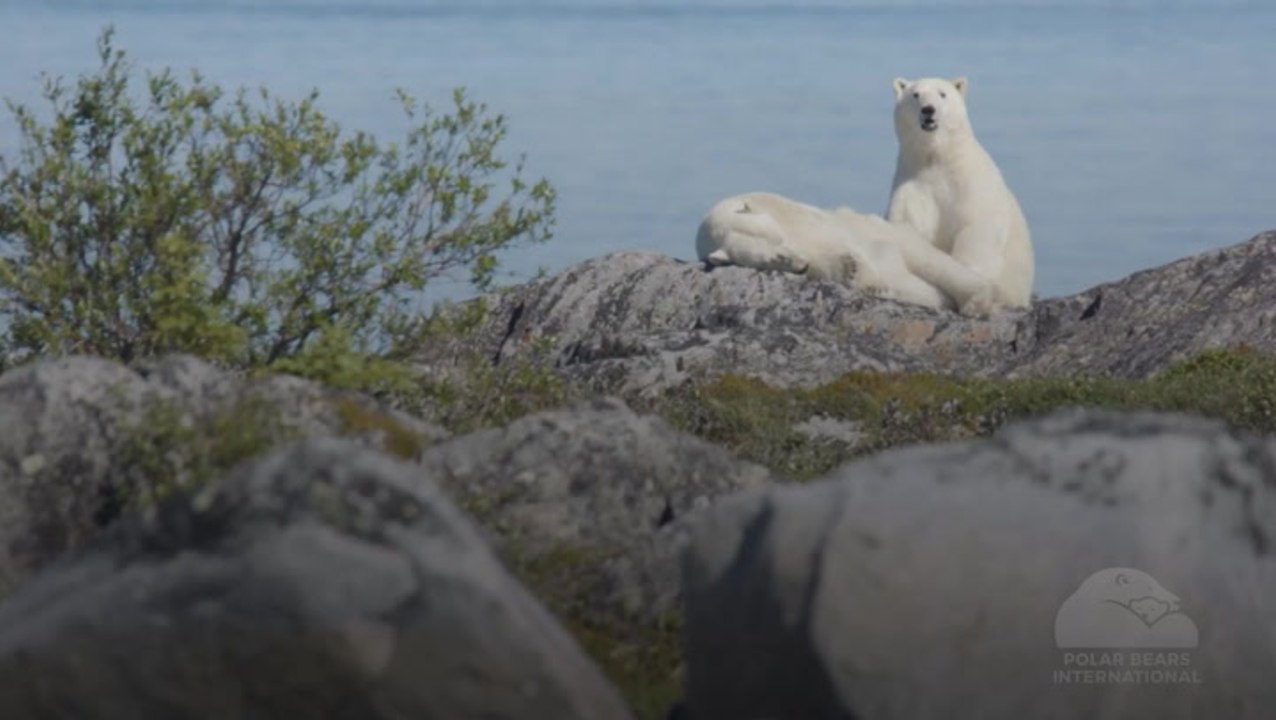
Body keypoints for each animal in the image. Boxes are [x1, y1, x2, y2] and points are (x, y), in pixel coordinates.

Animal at [887, 76, 1035, 314]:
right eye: (915, 95)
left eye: (942, 94)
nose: (928, 110)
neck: (936, 158)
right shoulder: (913, 183)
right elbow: (909, 226)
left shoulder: (970, 184)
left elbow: (975, 227)